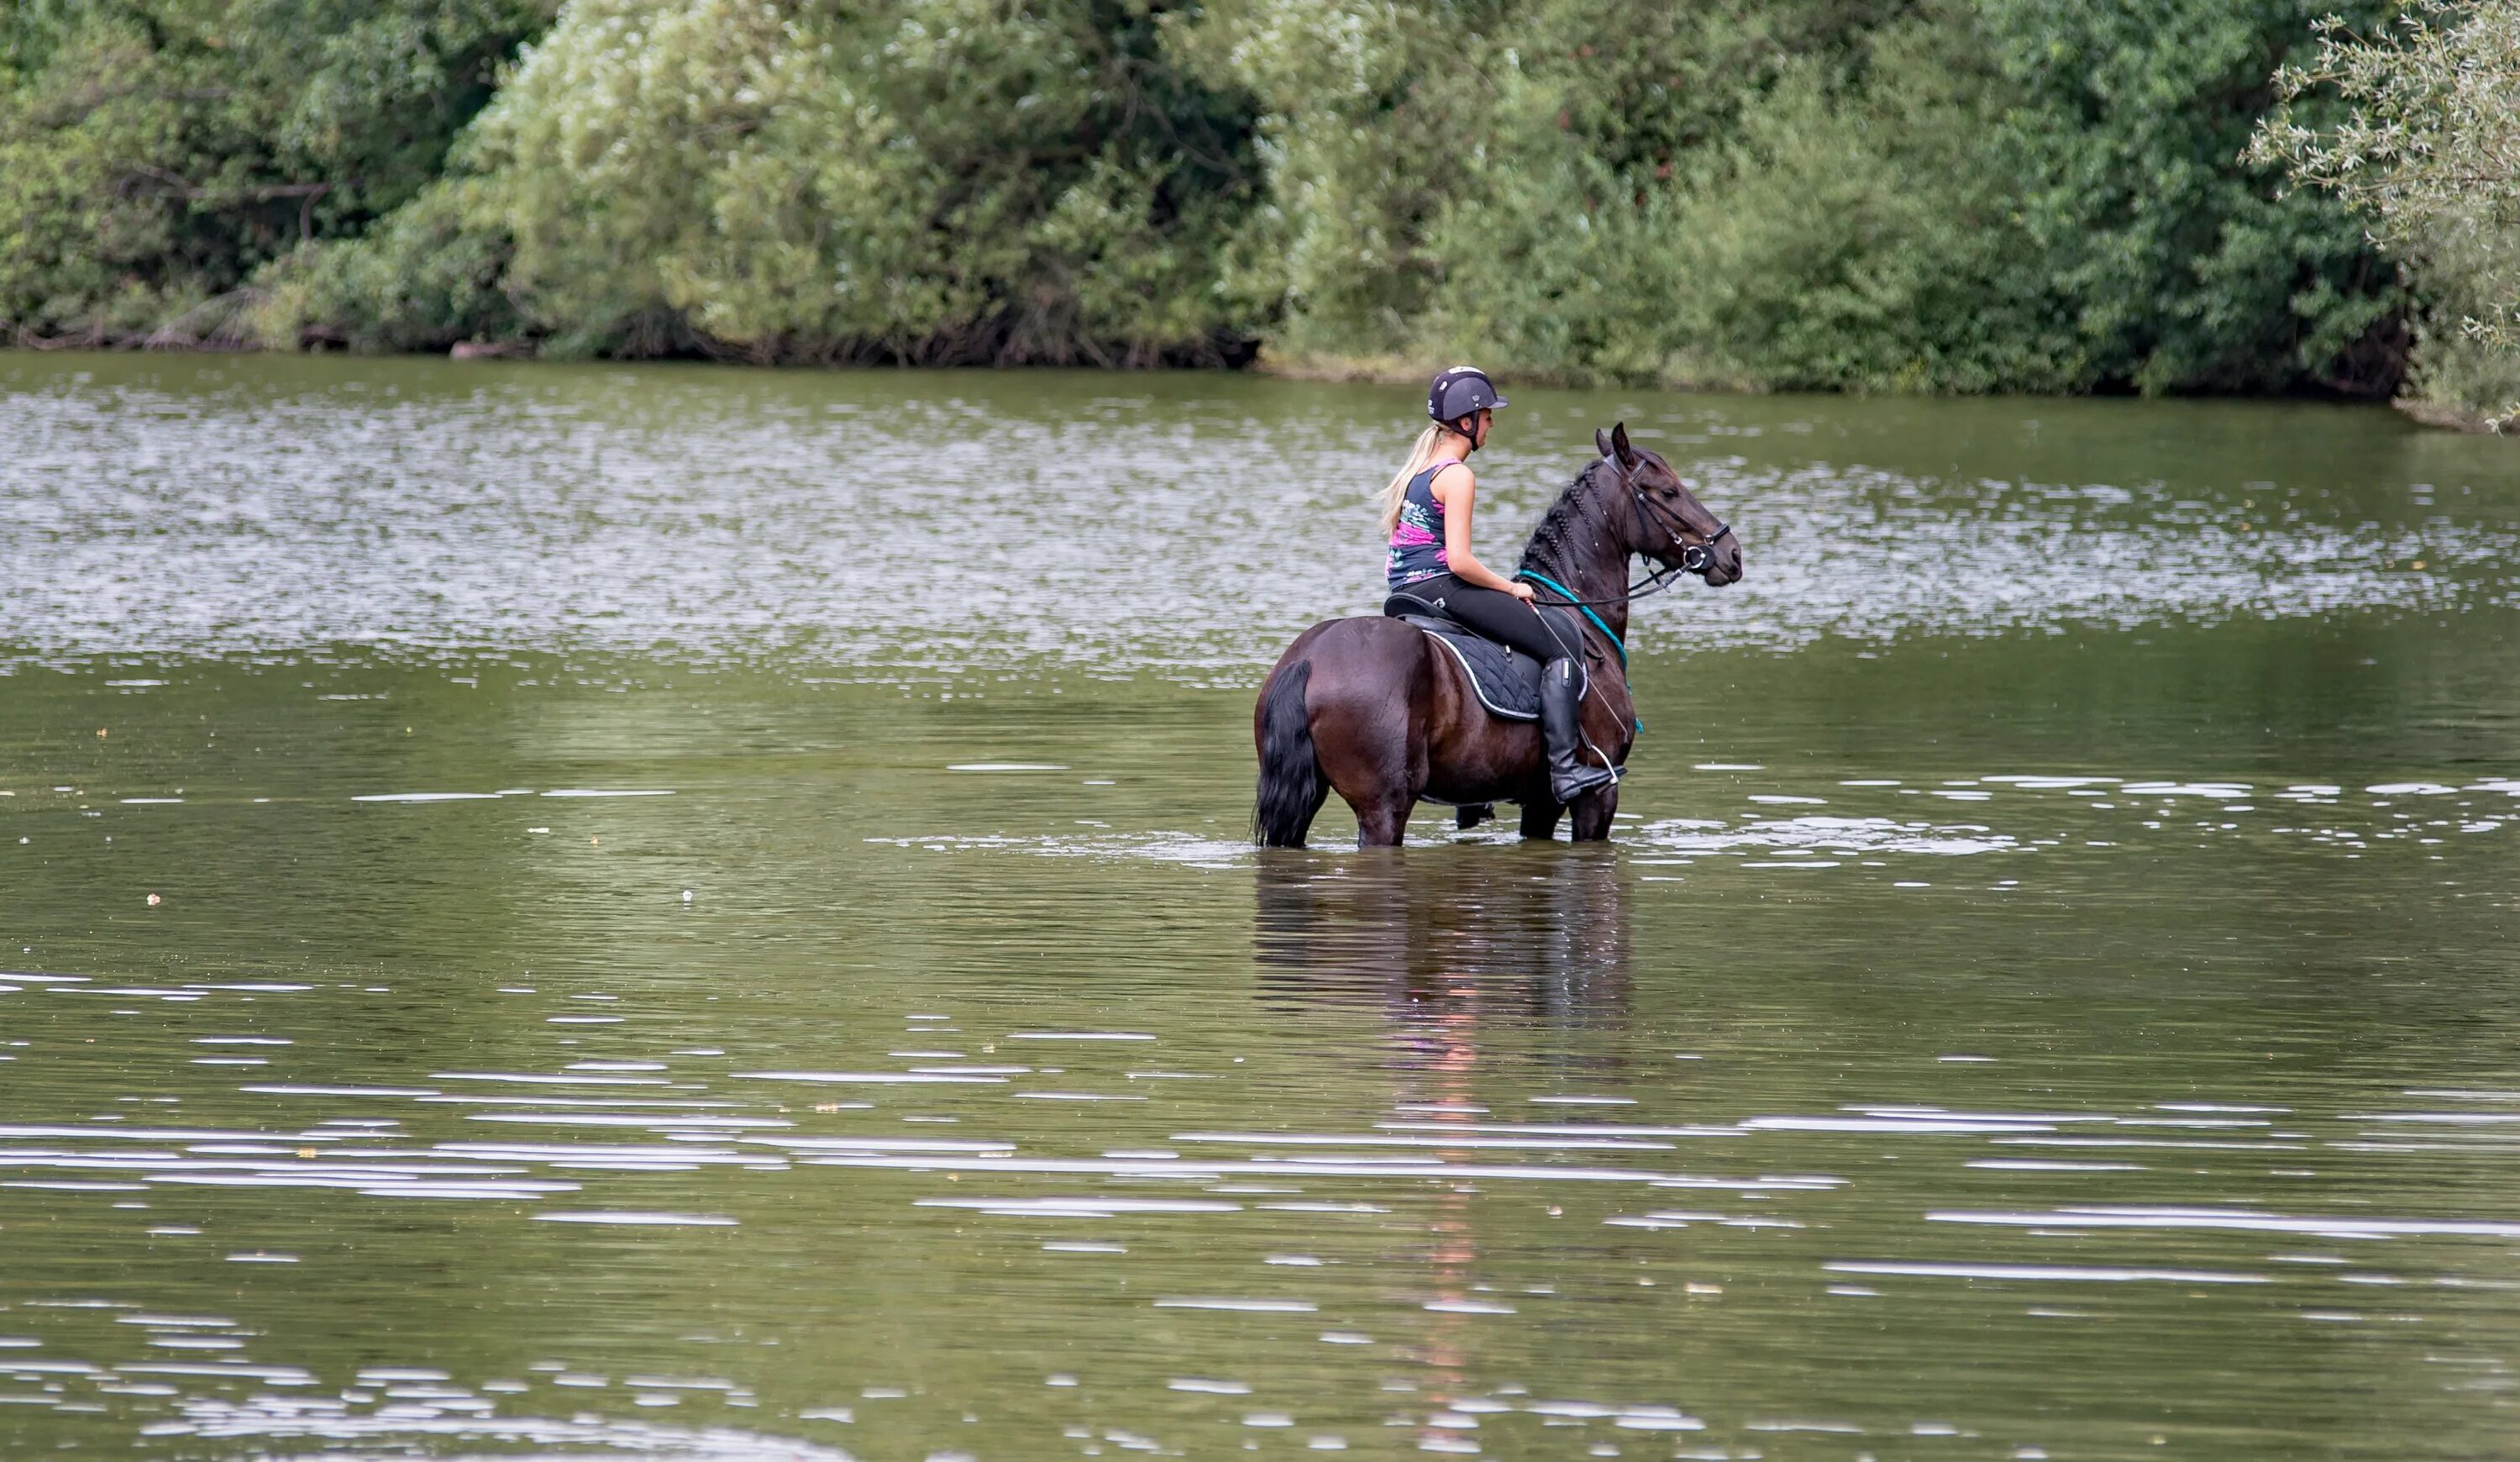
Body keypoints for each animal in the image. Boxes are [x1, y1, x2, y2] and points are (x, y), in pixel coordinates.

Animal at [1255, 423, 1744, 852]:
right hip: (1384, 807)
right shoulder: (1596, 795)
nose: (1732, 553)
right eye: (1668, 492)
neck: (1581, 616)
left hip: (1306, 799)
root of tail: (1309, 659)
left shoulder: (1540, 801)